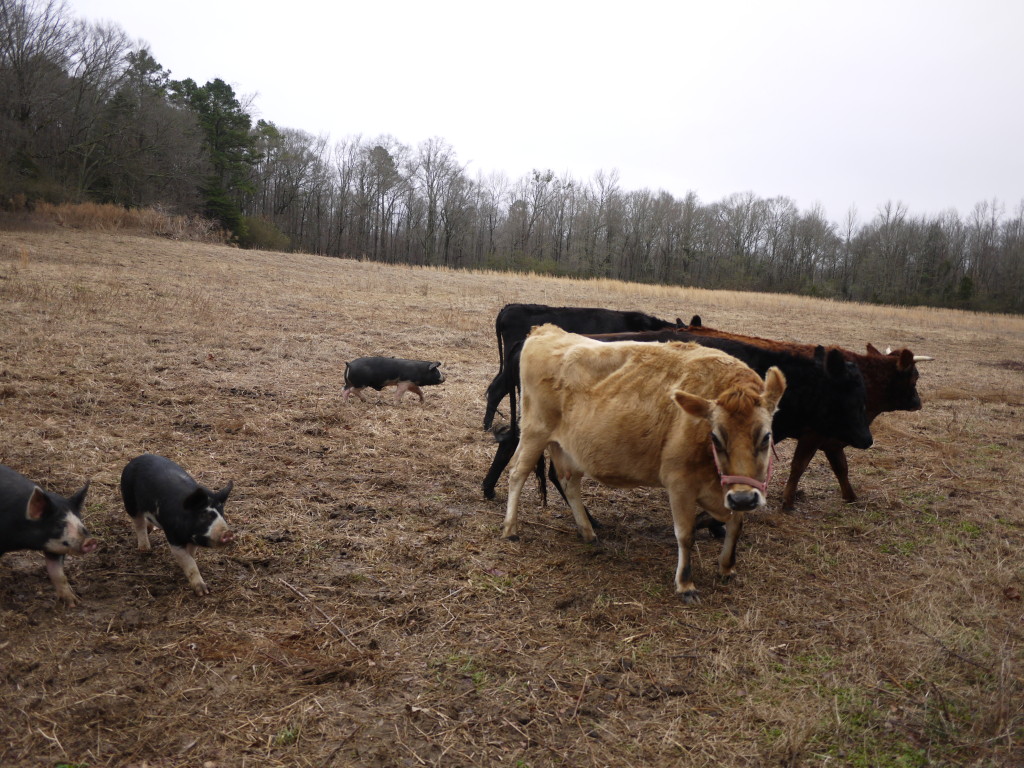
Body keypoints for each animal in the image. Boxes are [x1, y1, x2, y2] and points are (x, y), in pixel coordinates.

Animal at [0, 466, 97, 610]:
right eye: (58, 525)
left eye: (80, 520)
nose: (91, 541)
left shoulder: (55, 548)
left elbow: (58, 574)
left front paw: (73, 603)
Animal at [118, 454, 234, 598]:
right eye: (203, 515)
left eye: (222, 513)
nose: (228, 533)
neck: (188, 535)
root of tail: (138, 458)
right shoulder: (173, 537)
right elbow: (189, 562)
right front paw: (203, 592)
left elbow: (190, 555)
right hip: (129, 501)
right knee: (138, 524)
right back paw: (144, 549)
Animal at [501, 323, 782, 602]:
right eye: (715, 437)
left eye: (766, 436)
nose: (743, 498)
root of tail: (547, 330)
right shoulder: (680, 484)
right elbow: (685, 534)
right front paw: (685, 584)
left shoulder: (738, 488)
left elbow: (736, 524)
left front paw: (726, 567)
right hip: (535, 432)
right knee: (517, 473)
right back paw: (510, 529)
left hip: (568, 449)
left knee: (569, 483)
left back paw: (587, 532)